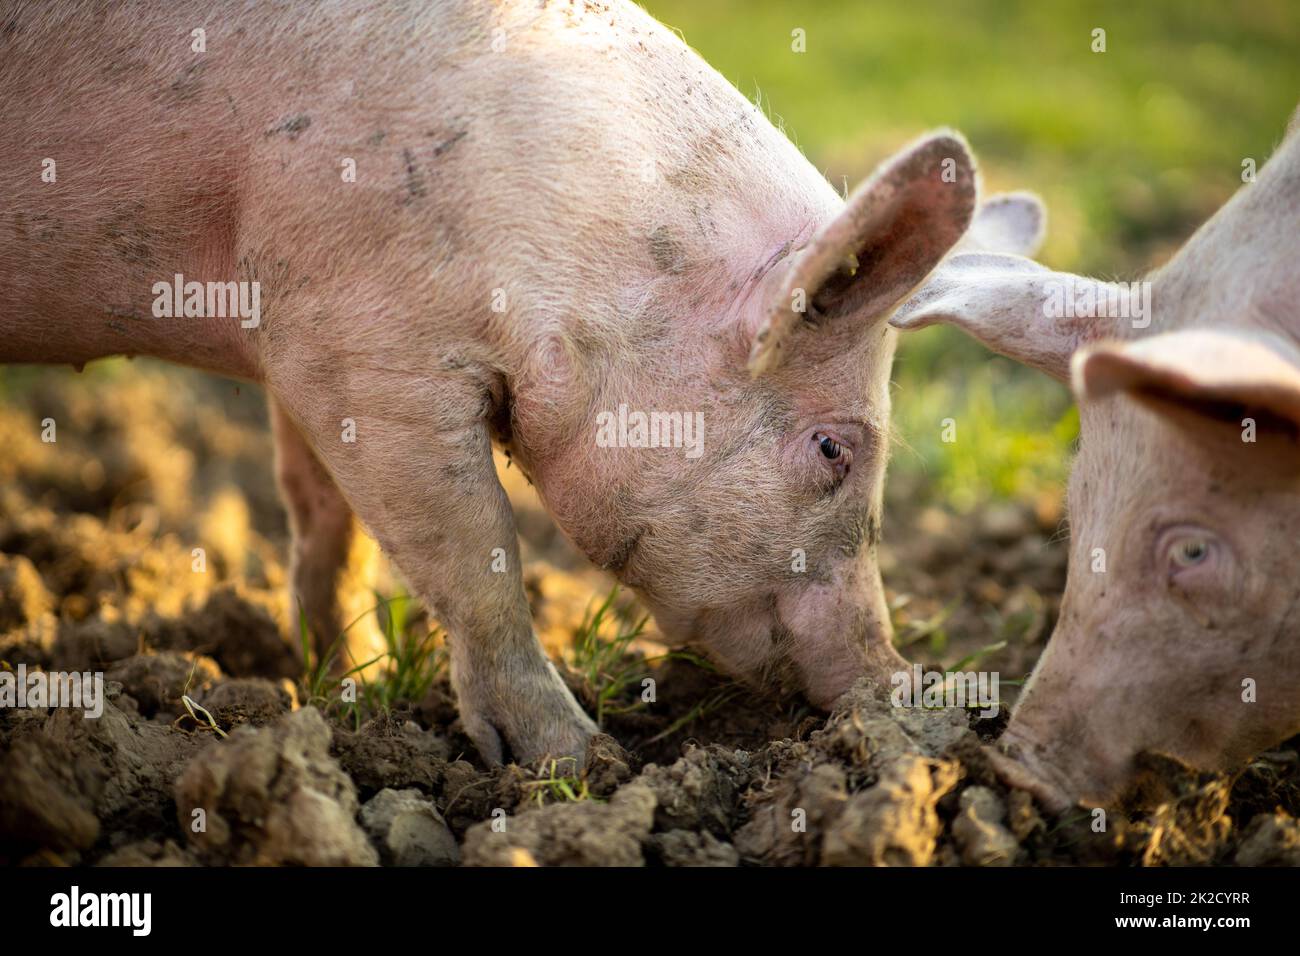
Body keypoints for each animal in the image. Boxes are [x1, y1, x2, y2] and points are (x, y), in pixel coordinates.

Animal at [0, 0, 1034, 764]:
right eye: (832, 449)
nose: (898, 680)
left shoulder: (291, 330)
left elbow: (327, 523)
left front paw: (346, 688)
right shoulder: (363, 342)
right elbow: (478, 552)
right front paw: (578, 760)